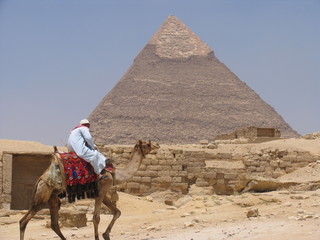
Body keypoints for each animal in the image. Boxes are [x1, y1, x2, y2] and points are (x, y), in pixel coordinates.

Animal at [20, 140, 160, 239]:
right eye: (147, 143)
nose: (157, 144)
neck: (115, 174)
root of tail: (40, 179)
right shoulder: (102, 189)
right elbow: (96, 218)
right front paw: (101, 236)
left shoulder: (103, 193)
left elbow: (117, 212)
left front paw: (106, 235)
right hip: (42, 194)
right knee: (23, 221)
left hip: (53, 198)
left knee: (54, 224)